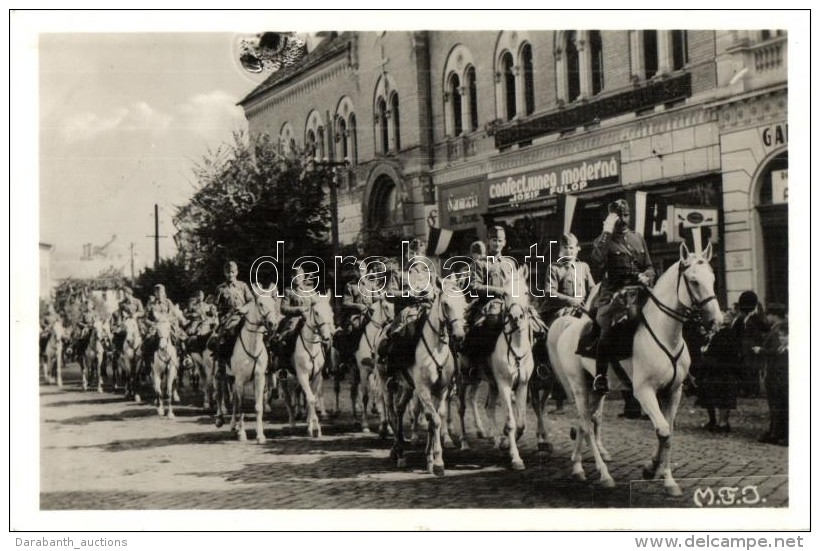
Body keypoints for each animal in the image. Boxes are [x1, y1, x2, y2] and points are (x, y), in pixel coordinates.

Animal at [386, 278, 468, 476]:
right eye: (446, 304)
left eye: (464, 304)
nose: (459, 336)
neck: (436, 347)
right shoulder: (423, 389)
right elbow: (435, 420)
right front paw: (438, 462)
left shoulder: (441, 390)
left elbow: (435, 418)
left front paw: (430, 458)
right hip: (397, 384)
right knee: (395, 411)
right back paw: (399, 452)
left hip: (409, 387)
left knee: (400, 408)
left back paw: (400, 451)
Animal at [548, 244, 720, 494]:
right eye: (694, 281)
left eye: (713, 279)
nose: (716, 321)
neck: (666, 335)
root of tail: (571, 324)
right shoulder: (644, 392)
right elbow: (663, 430)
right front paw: (652, 469)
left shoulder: (673, 392)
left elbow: (669, 434)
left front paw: (666, 479)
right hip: (578, 385)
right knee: (587, 425)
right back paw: (603, 474)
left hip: (596, 389)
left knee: (585, 421)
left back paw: (578, 466)